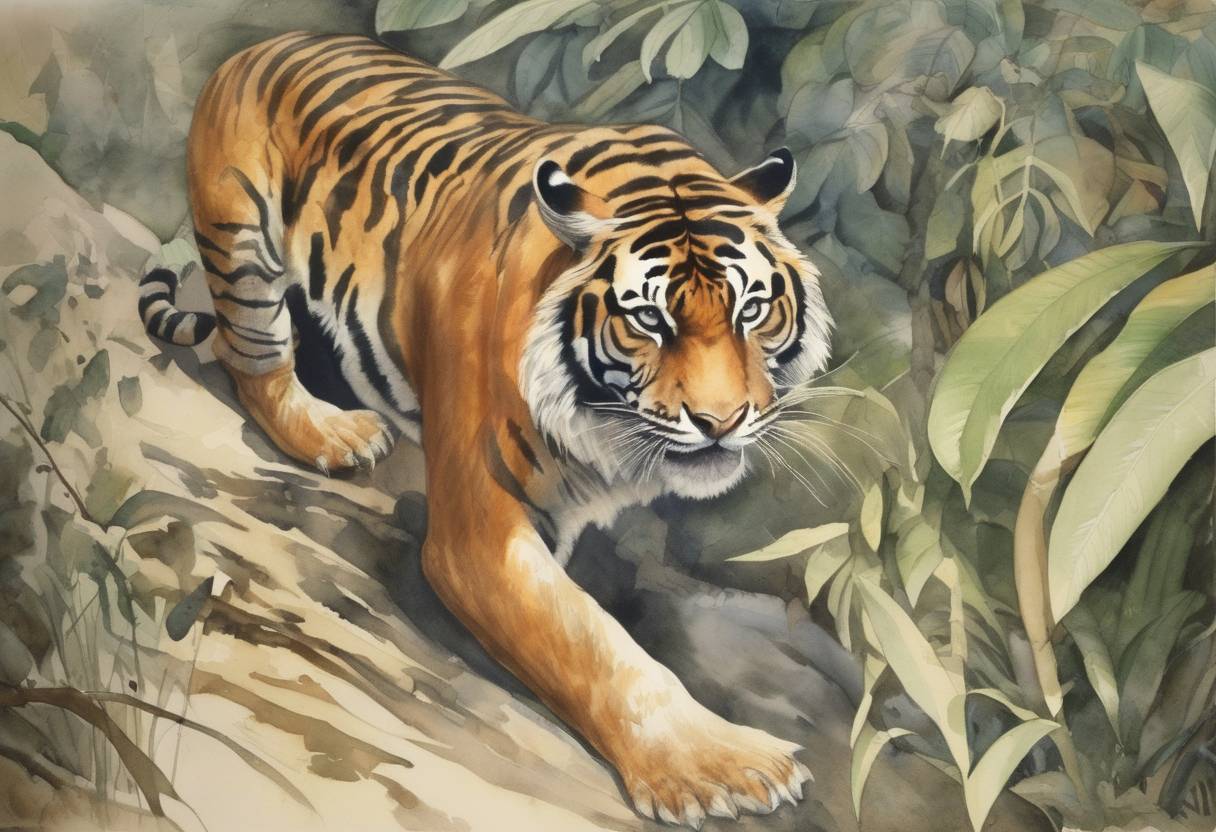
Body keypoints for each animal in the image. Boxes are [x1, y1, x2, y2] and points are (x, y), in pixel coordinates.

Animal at [139, 31, 832, 827]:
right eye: (649, 319)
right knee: (247, 356)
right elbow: (593, 642)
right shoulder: (479, 533)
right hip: (243, 247)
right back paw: (331, 435)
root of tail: (267, 43)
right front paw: (716, 765)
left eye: (752, 309)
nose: (721, 422)